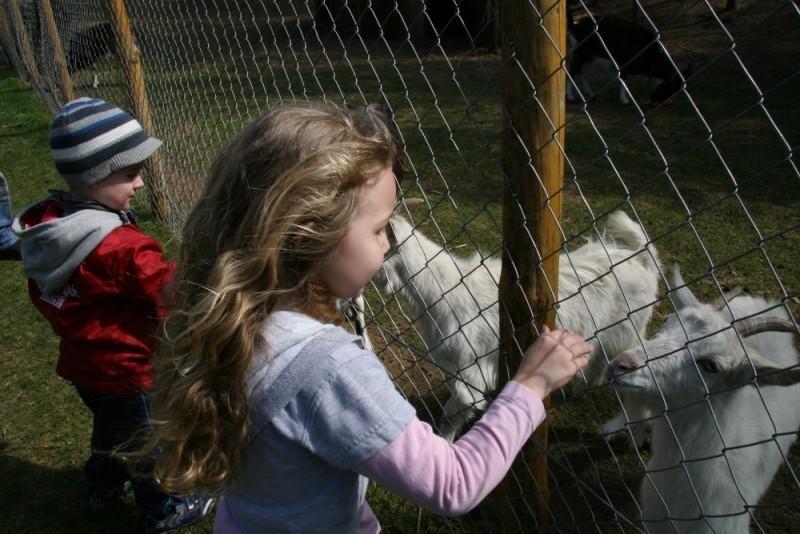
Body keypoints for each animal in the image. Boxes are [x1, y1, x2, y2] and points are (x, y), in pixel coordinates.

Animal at [376, 211, 664, 442]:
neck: (445, 291)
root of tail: (642, 259)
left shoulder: (471, 368)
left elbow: (453, 412)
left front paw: (445, 442)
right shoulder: (454, 366)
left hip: (630, 328)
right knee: (600, 360)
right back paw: (580, 391)